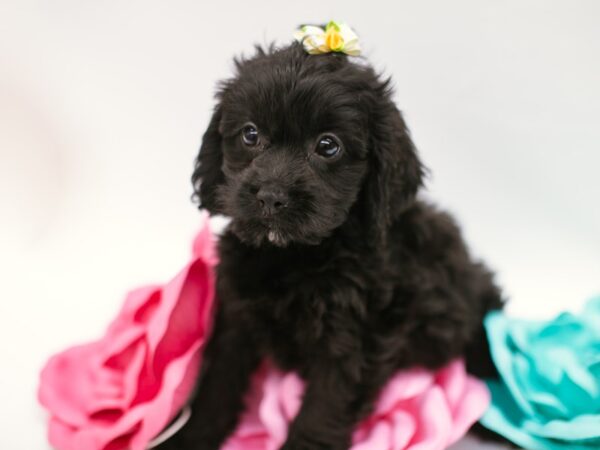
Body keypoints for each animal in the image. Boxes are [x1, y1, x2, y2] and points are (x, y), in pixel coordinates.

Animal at [158, 42, 502, 450]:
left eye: (328, 145)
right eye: (250, 134)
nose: (271, 196)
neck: (294, 255)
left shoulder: (352, 343)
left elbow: (321, 413)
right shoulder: (236, 316)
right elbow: (218, 384)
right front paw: (188, 438)